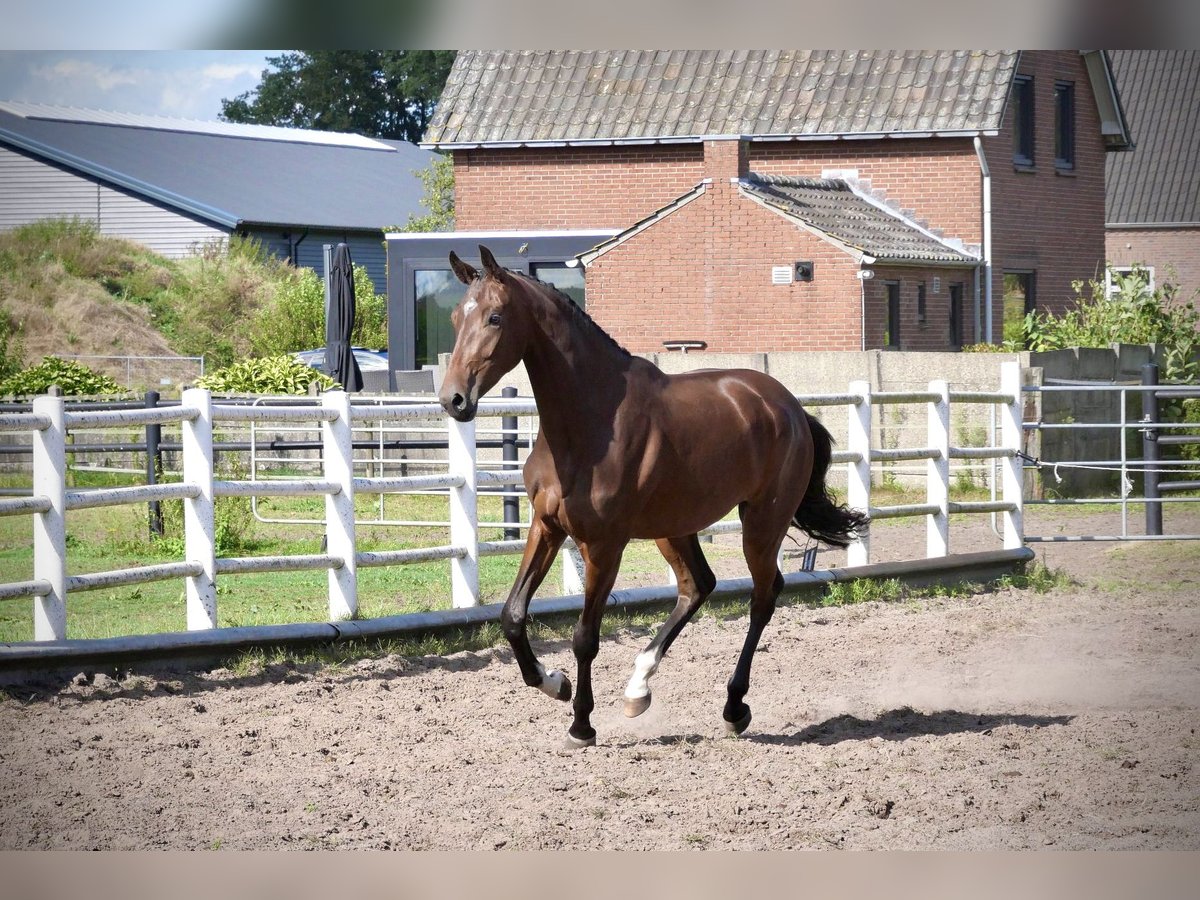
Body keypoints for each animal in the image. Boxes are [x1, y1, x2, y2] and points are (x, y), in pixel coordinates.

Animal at [439, 244, 864, 748]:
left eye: (495, 317)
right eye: (454, 317)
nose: (453, 400)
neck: (589, 419)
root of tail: (792, 408)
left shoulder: (604, 545)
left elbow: (585, 636)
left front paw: (581, 724)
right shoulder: (547, 527)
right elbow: (513, 616)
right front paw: (555, 683)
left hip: (762, 524)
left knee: (763, 597)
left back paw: (733, 707)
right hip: (675, 527)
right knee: (698, 585)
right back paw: (638, 688)